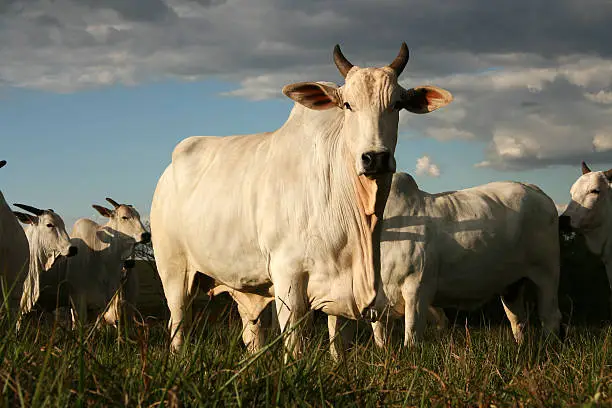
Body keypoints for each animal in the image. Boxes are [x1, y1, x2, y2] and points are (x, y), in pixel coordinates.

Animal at [149, 41, 454, 354]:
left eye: (397, 104)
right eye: (347, 104)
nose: (375, 158)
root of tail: (168, 171)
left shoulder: (342, 291)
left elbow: (339, 344)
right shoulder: (288, 276)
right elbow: (294, 342)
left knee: (252, 331)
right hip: (173, 271)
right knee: (178, 323)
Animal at [326, 173, 564, 356]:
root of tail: (535, 190)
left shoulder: (417, 288)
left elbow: (412, 335)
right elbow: (378, 337)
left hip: (547, 273)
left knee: (550, 316)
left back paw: (549, 350)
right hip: (511, 285)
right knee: (518, 320)